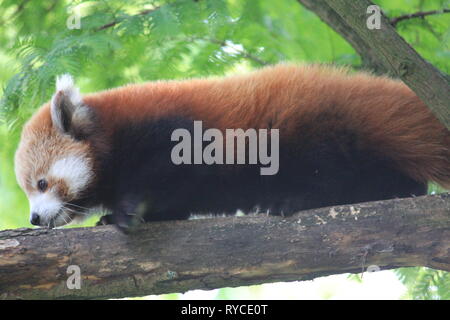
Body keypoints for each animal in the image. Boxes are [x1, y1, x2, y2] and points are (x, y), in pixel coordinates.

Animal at [14, 64, 450, 230]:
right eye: (30, 189)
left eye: (42, 184)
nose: (34, 219)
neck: (113, 130)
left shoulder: (172, 131)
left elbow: (164, 174)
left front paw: (126, 210)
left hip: (310, 126)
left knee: (326, 169)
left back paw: (294, 199)